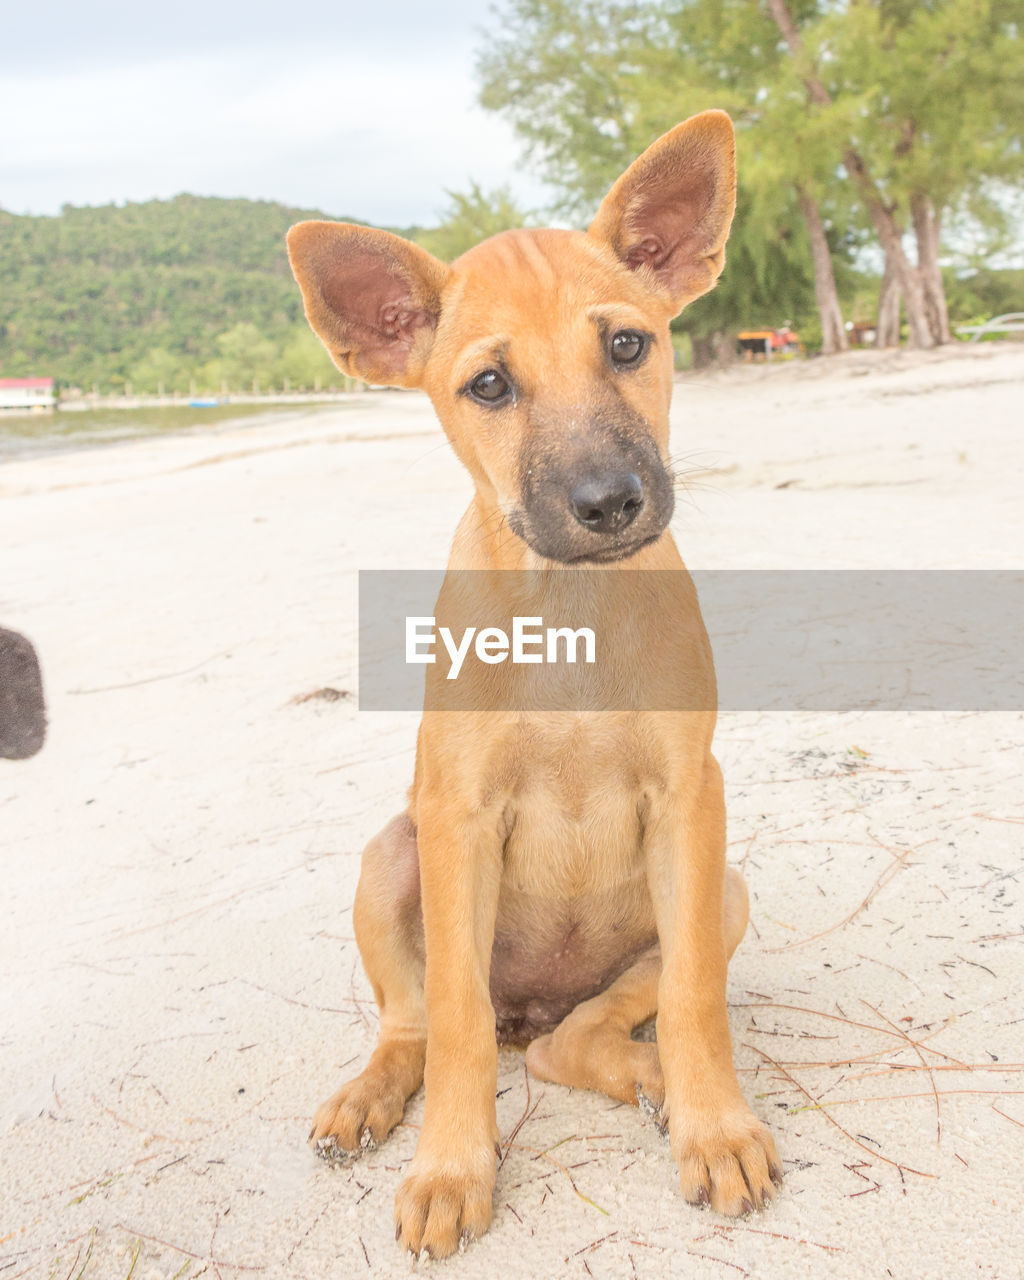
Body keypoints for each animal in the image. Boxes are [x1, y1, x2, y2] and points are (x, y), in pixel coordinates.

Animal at [284, 112, 778, 1259]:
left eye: (628, 345)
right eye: (489, 386)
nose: (609, 502)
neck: (570, 613)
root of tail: (536, 1009)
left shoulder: (691, 799)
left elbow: (696, 998)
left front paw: (716, 1125)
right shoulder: (457, 812)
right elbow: (455, 1023)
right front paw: (451, 1168)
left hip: (720, 887)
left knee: (583, 1036)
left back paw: (654, 1079)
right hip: (391, 855)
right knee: (422, 1026)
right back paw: (371, 1096)